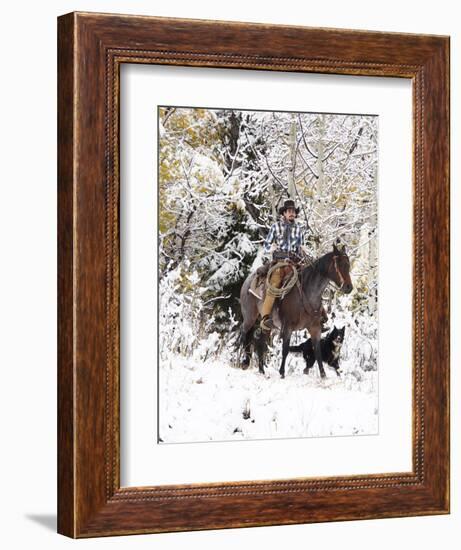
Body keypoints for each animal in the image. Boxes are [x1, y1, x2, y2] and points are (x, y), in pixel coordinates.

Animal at [237, 246, 352, 380]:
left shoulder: (315, 328)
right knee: (244, 332)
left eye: (348, 265)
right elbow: (285, 349)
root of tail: (248, 280)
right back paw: (245, 361)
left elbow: (317, 351)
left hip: (267, 325)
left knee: (261, 342)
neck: (307, 293)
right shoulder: (288, 327)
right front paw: (282, 372)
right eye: (339, 264)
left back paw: (261, 370)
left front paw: (323, 375)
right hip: (249, 316)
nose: (349, 287)